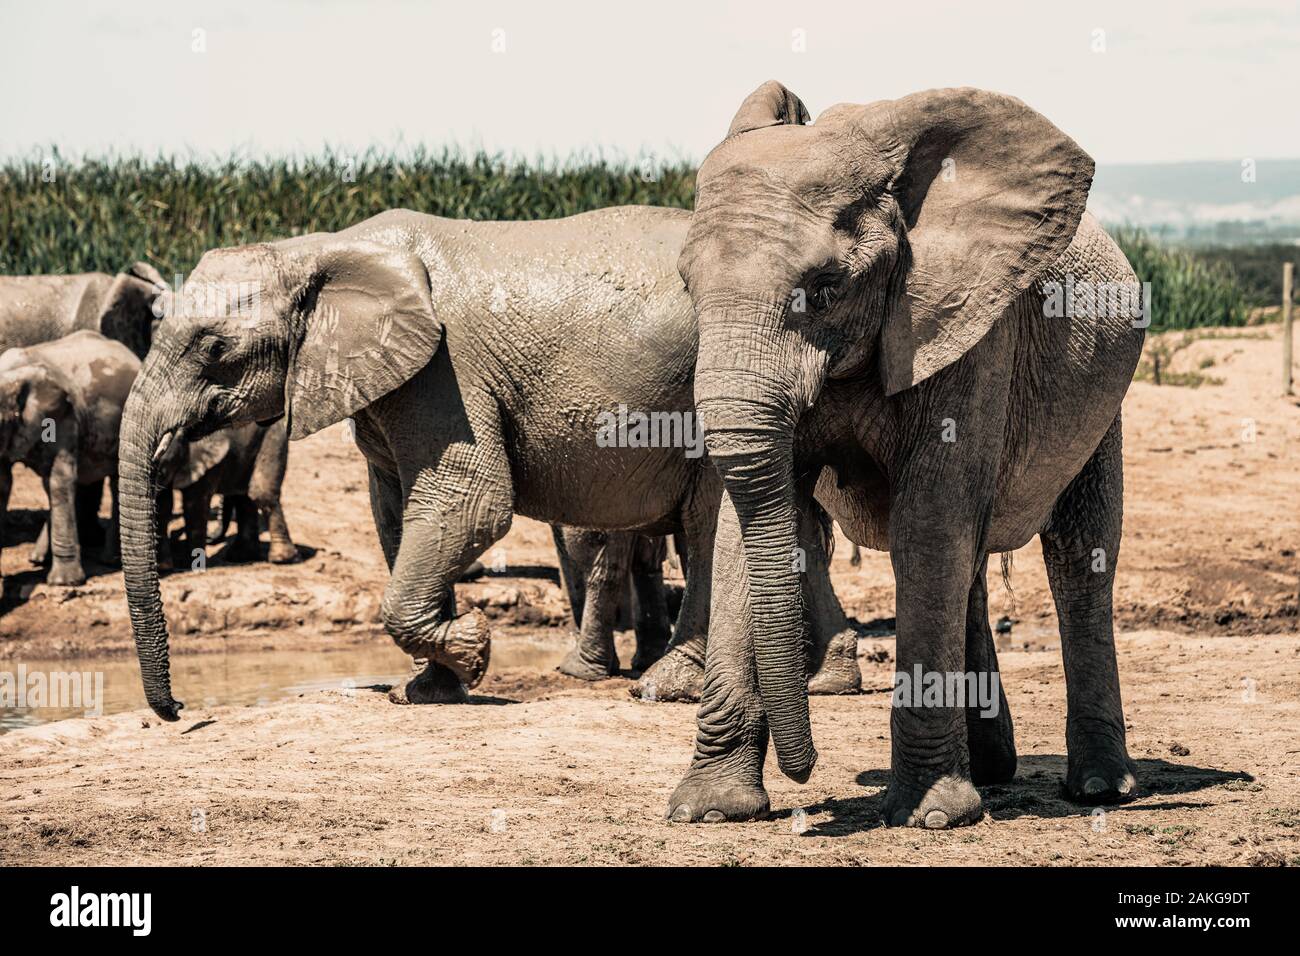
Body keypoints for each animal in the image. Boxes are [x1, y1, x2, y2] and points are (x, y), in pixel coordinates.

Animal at [0, 330, 140, 585]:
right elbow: (3, 483)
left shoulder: (62, 416)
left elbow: (60, 479)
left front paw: (64, 583)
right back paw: (38, 559)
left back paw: (111, 561)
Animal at [117, 205, 862, 720]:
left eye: (214, 347)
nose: (178, 711)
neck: (318, 248)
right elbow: (397, 516)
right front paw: (430, 689)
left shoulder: (444, 374)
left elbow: (470, 501)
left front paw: (474, 647)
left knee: (708, 525)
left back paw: (665, 687)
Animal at [664, 82, 1145, 829]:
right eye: (687, 286)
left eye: (826, 288)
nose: (806, 778)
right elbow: (746, 528)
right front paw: (710, 811)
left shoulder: (969, 327)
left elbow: (927, 519)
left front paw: (930, 815)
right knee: (972, 556)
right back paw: (993, 770)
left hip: (1102, 401)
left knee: (1078, 553)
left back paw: (1098, 788)